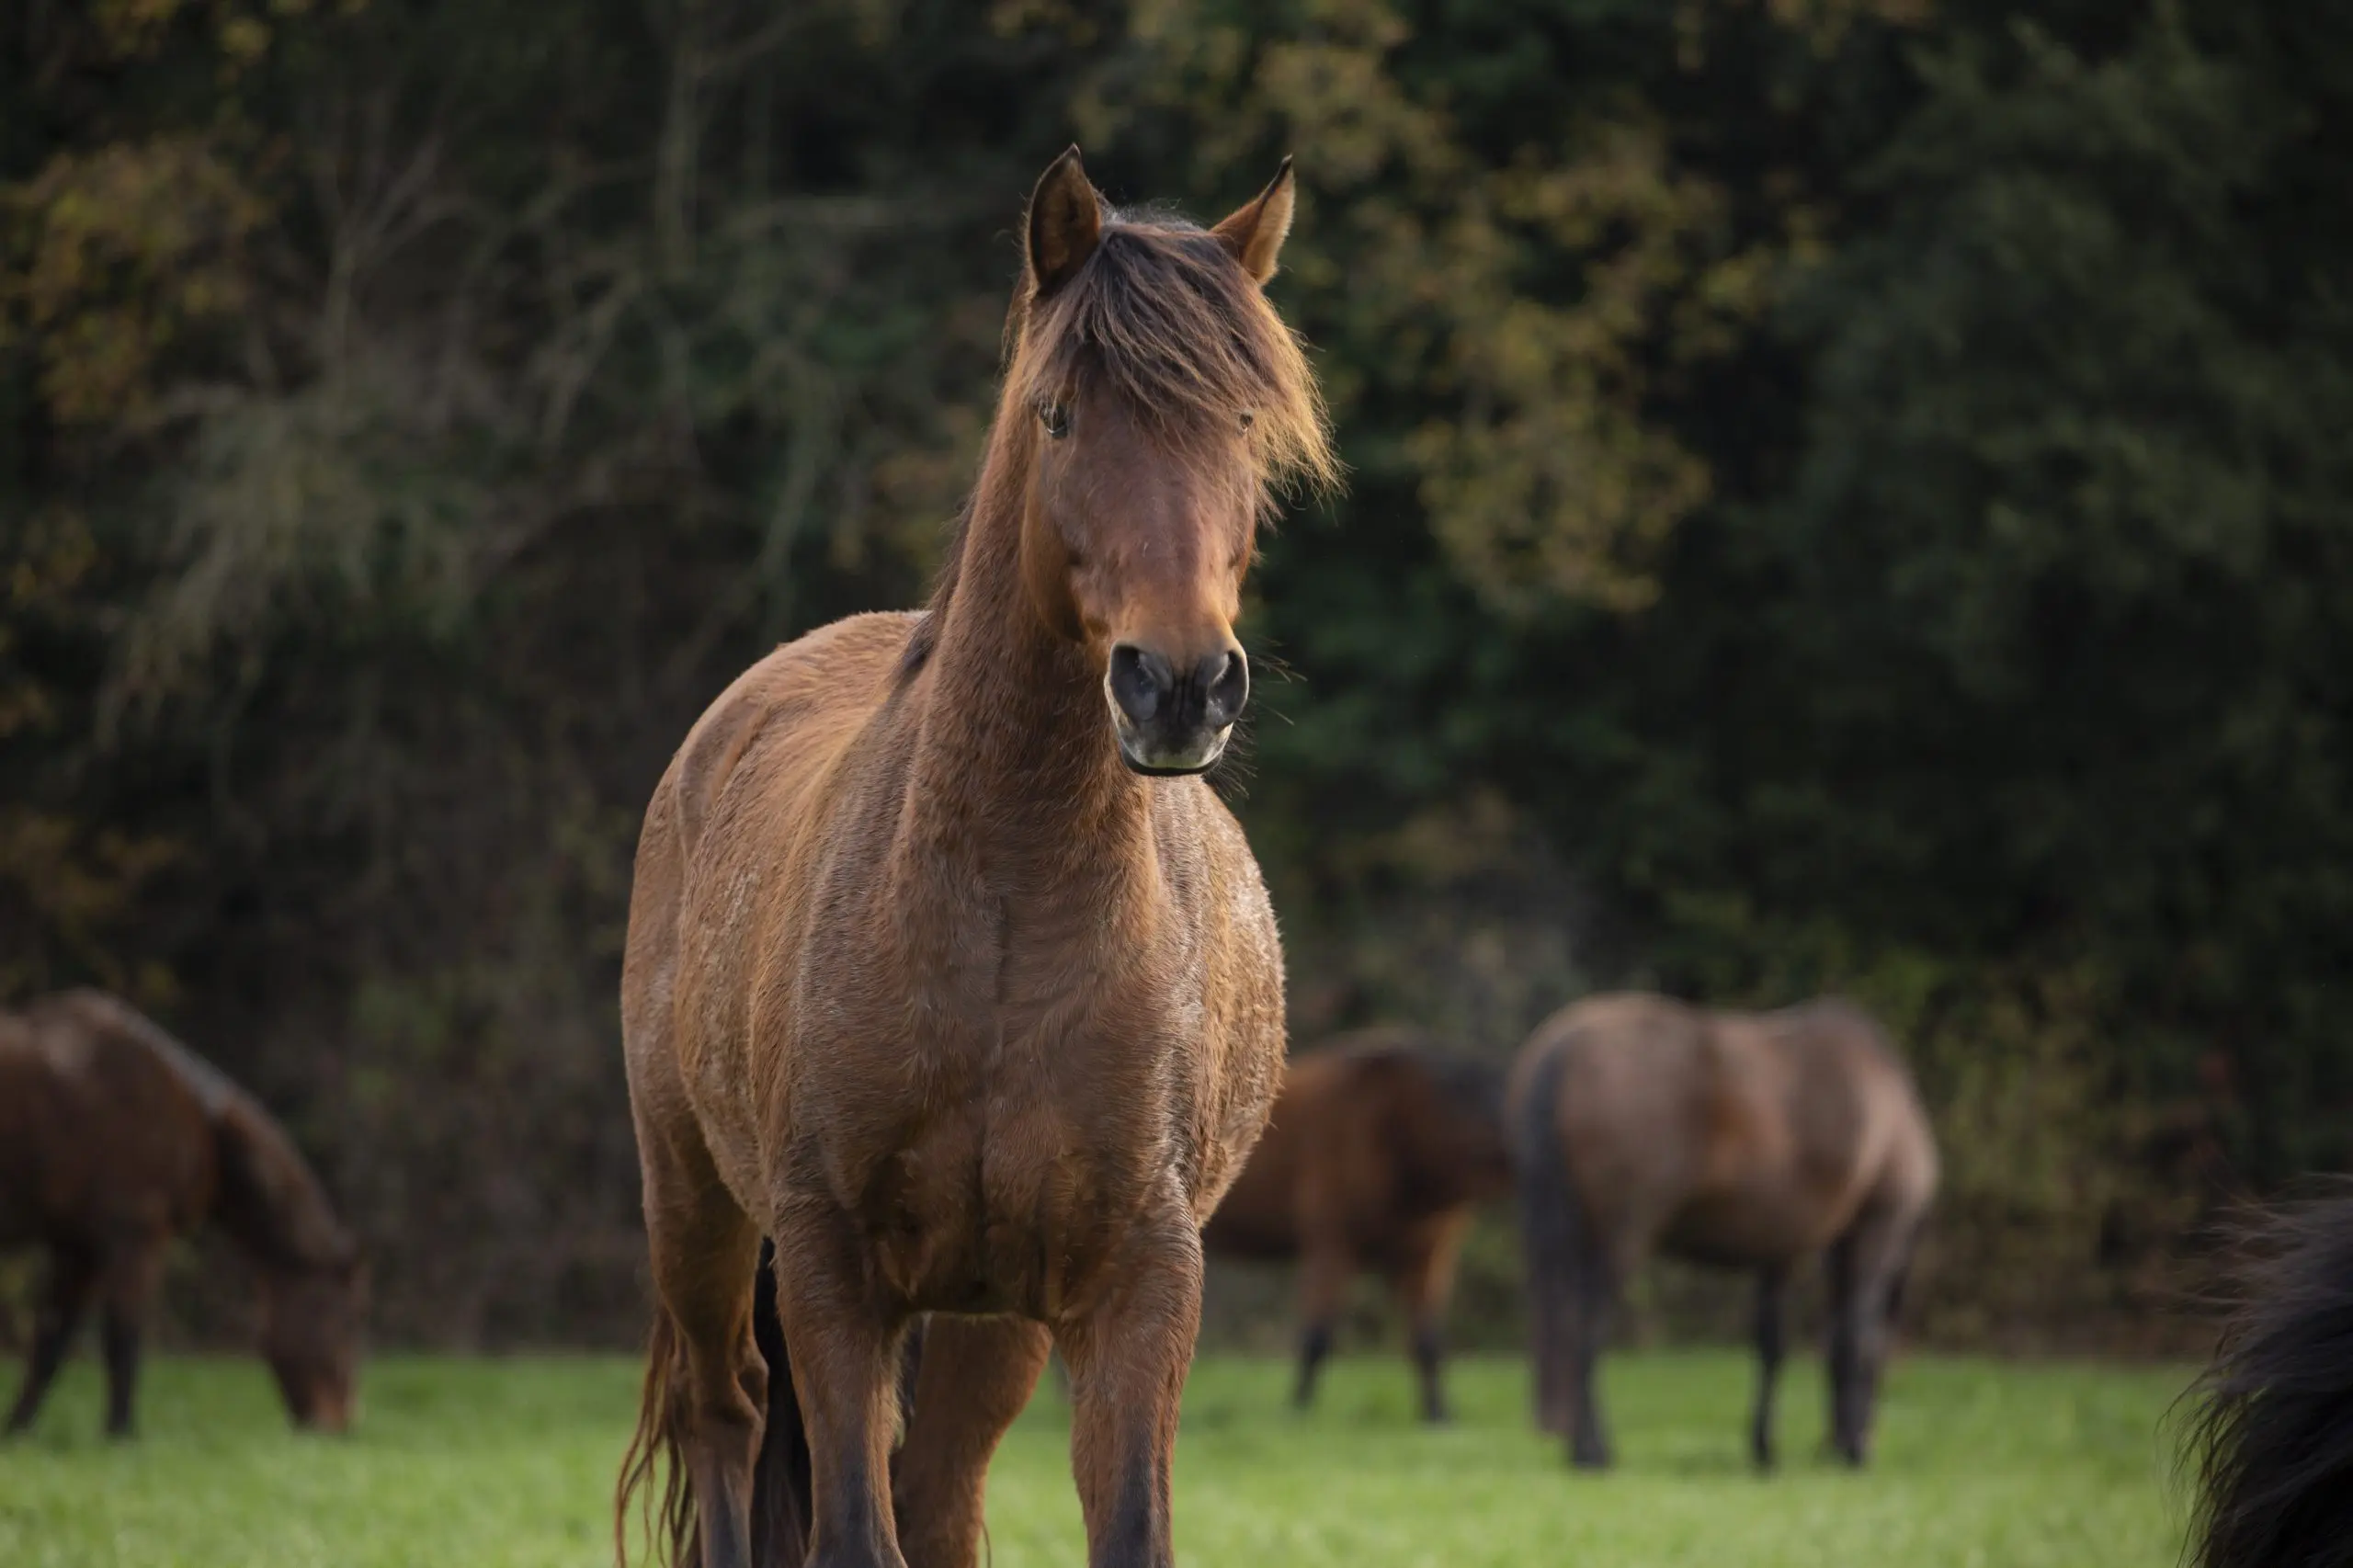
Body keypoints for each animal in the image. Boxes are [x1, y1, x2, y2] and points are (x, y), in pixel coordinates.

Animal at [0, 989, 365, 1438]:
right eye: (349, 1321)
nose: (340, 1425)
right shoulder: (133, 1241)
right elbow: (122, 1340)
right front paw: (121, 1433)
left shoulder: (76, 1247)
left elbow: (50, 1343)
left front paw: (17, 1430)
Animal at [613, 145, 1335, 1568]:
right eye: (1057, 415)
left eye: (1241, 422)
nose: (1180, 684)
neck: (1009, 910)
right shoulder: (833, 1271)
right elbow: (849, 1524)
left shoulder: (1135, 1284)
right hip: (698, 1209)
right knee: (728, 1419)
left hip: (989, 1322)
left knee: (940, 1490)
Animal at [1202, 1028, 1512, 1422]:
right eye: (1468, 1099)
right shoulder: (1332, 1246)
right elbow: (1317, 1335)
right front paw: (1298, 1410)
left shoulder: (1426, 1256)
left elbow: (1427, 1340)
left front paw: (1437, 1412)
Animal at [1507, 992, 1937, 1470]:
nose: (1863, 1439)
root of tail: (1563, 1050)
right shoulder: (1877, 1225)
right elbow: (1857, 1338)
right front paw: (1851, 1448)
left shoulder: (1782, 1250)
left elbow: (1773, 1344)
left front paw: (1766, 1447)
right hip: (1619, 1239)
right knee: (1586, 1330)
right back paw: (1593, 1450)